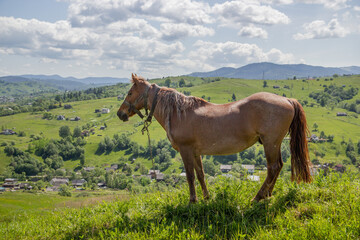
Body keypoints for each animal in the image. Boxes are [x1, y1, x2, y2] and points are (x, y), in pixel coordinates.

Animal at [118, 73, 312, 202]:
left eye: (129, 93)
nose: (120, 113)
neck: (178, 113)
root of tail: (287, 100)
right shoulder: (196, 152)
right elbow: (201, 175)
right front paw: (206, 197)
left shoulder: (186, 151)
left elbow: (190, 176)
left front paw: (193, 201)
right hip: (274, 143)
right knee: (278, 166)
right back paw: (267, 195)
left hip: (270, 143)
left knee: (273, 167)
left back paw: (258, 197)